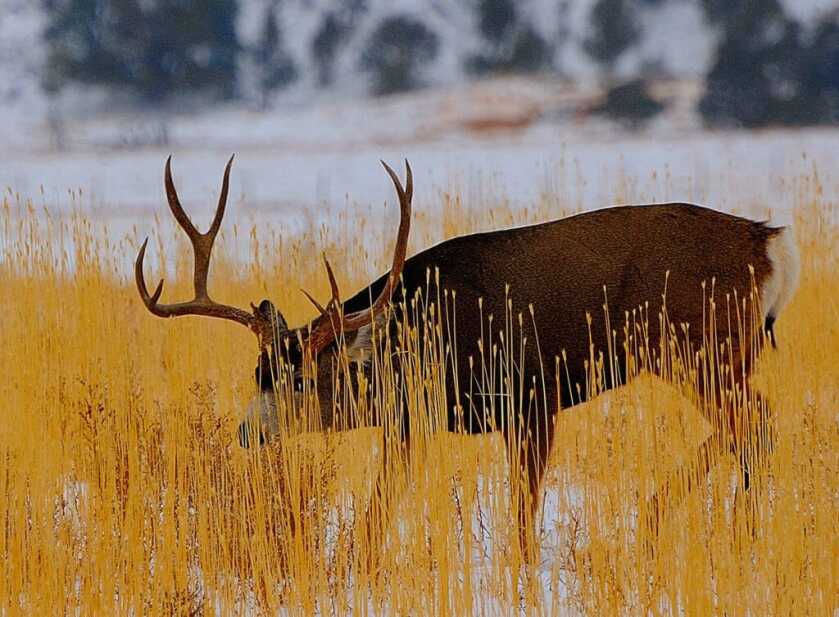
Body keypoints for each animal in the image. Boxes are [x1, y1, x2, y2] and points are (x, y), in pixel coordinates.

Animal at [135, 156, 799, 561]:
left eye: (299, 380)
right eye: (257, 373)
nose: (245, 432)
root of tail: (768, 242)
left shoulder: (530, 397)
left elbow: (522, 511)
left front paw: (523, 573)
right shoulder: (414, 420)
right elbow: (381, 502)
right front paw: (355, 560)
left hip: (699, 345)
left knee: (755, 425)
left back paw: (701, 526)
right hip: (702, 354)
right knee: (751, 424)